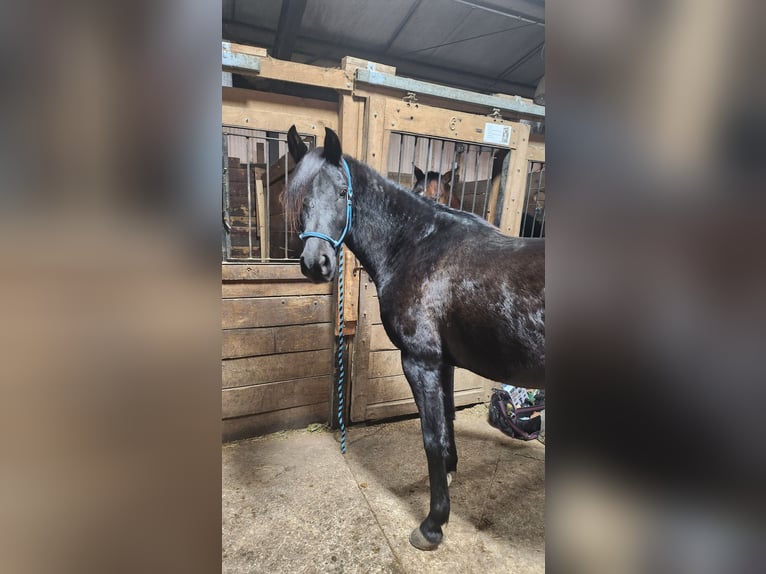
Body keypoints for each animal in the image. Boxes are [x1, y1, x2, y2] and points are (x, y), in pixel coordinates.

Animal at [285, 126, 545, 551]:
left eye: (342, 193)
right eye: (300, 195)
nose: (315, 263)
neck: (418, 246)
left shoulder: (420, 362)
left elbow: (431, 438)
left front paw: (433, 524)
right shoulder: (444, 364)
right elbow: (448, 424)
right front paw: (449, 476)